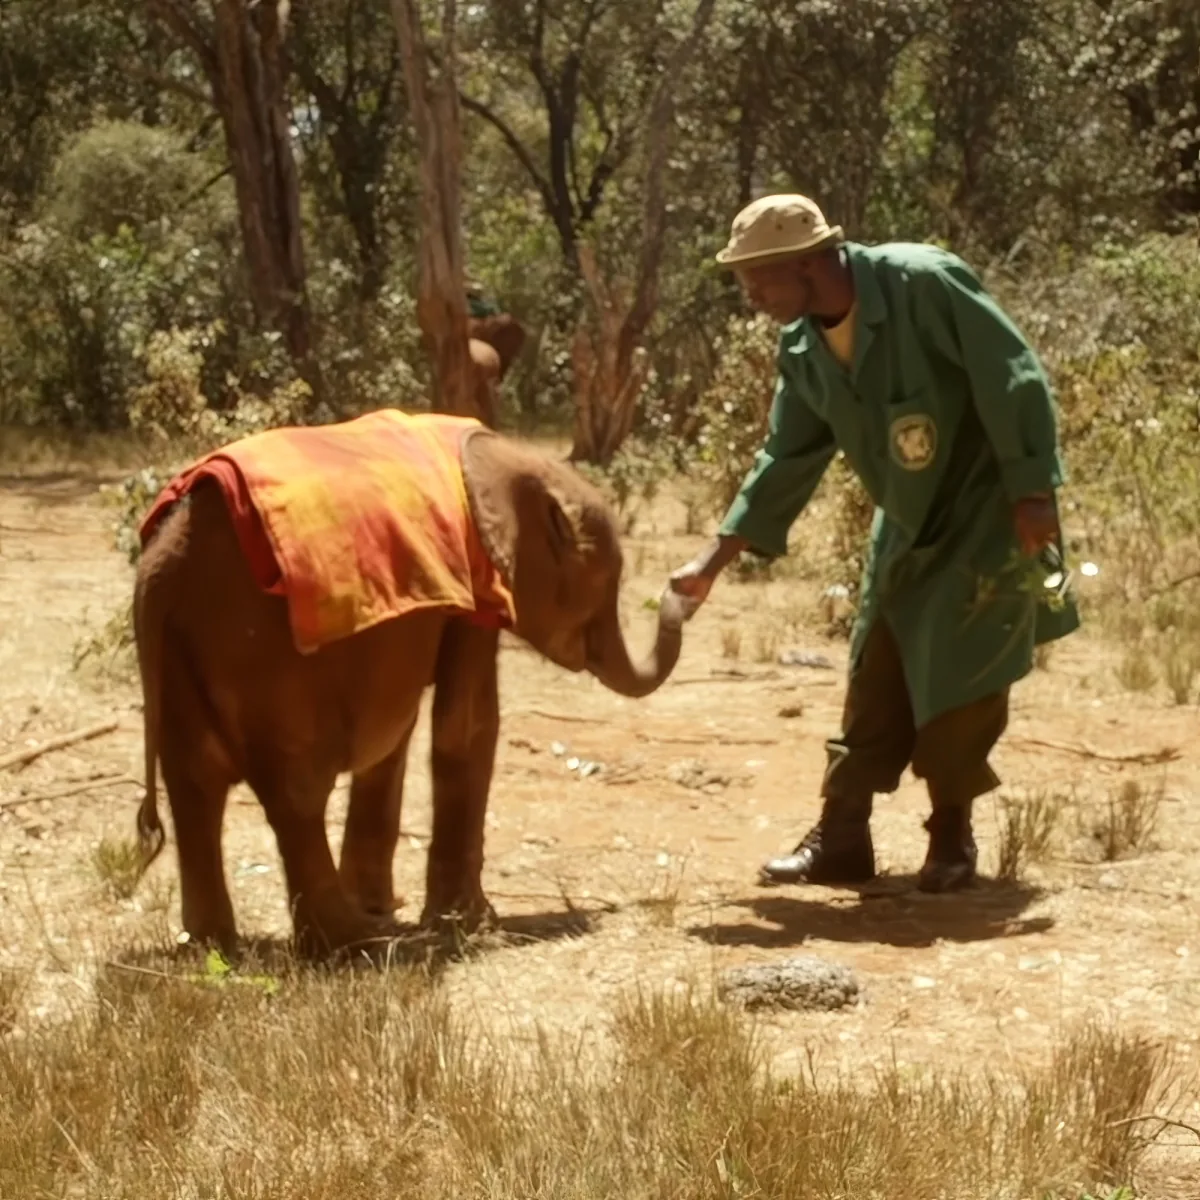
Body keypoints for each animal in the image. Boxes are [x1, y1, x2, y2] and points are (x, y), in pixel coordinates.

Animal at [131, 418, 688, 958]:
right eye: (607, 583)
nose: (679, 588)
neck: (512, 458)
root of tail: (159, 570)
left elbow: (396, 739)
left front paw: (393, 909)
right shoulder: (476, 592)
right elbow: (466, 724)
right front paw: (470, 924)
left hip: (179, 649)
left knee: (196, 784)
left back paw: (214, 946)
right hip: (263, 654)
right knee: (296, 789)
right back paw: (355, 943)